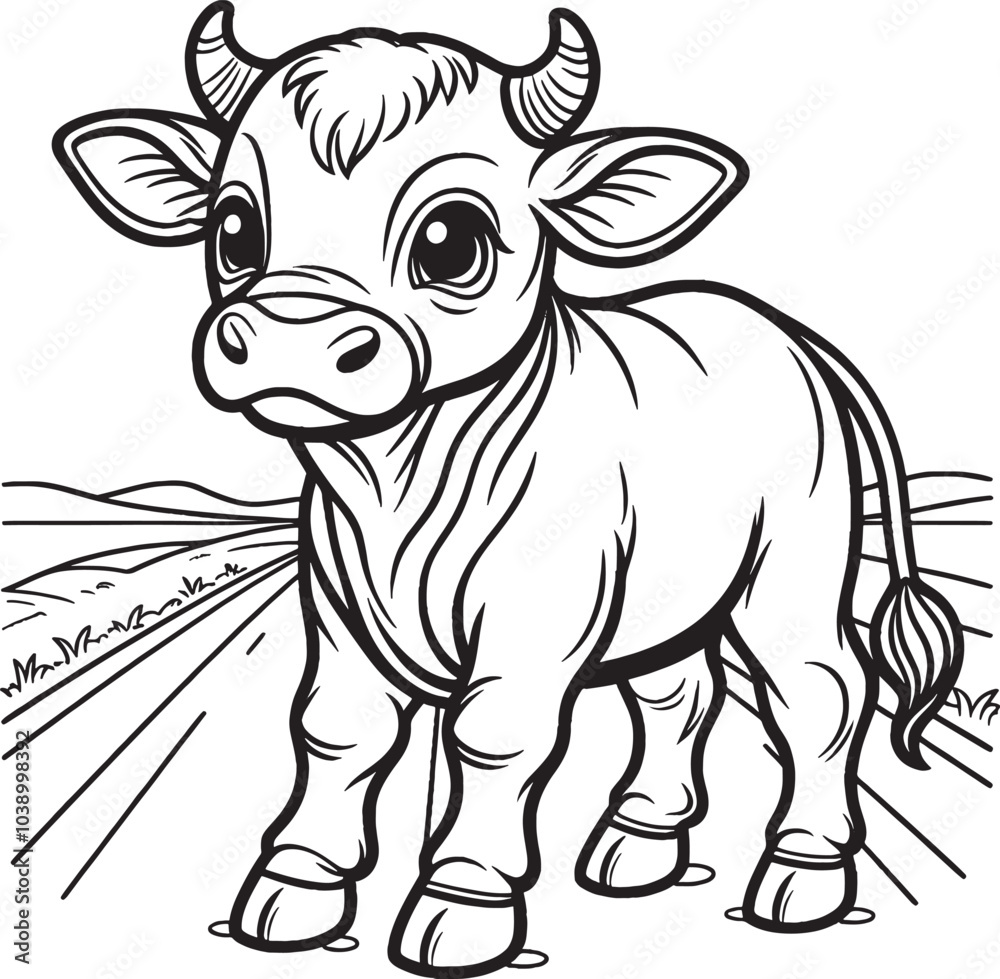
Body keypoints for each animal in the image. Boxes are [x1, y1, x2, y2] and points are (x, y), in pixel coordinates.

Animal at [53, 3, 964, 974]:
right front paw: (298, 886)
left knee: (821, 692)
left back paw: (803, 874)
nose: (289, 340)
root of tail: (783, 330)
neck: (395, 488)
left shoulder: (533, 627)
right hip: (671, 597)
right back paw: (639, 842)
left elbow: (492, 739)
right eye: (233, 229)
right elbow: (334, 728)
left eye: (451, 241)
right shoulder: (336, 615)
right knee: (677, 695)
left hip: (791, 571)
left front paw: (462, 905)